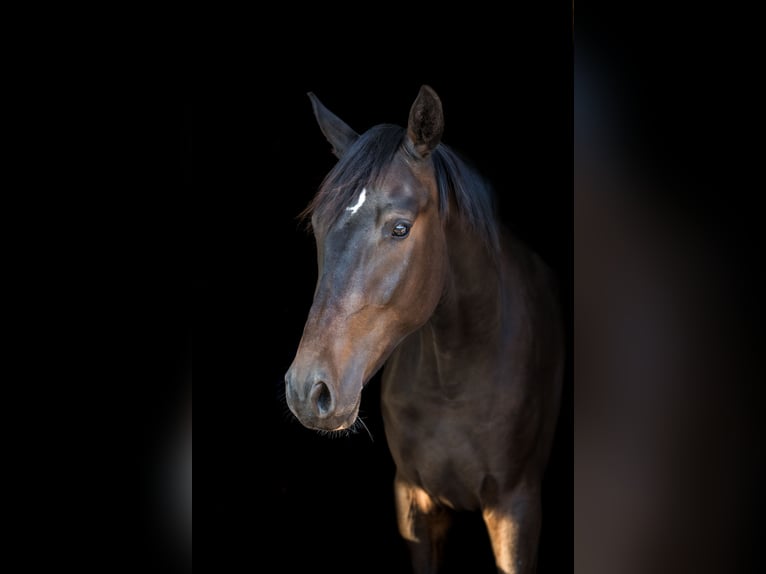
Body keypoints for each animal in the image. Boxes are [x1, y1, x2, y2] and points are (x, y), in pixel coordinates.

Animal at [285, 85, 563, 574]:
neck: (455, 383)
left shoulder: (517, 509)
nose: (307, 390)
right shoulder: (413, 503)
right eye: (318, 227)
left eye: (400, 228)